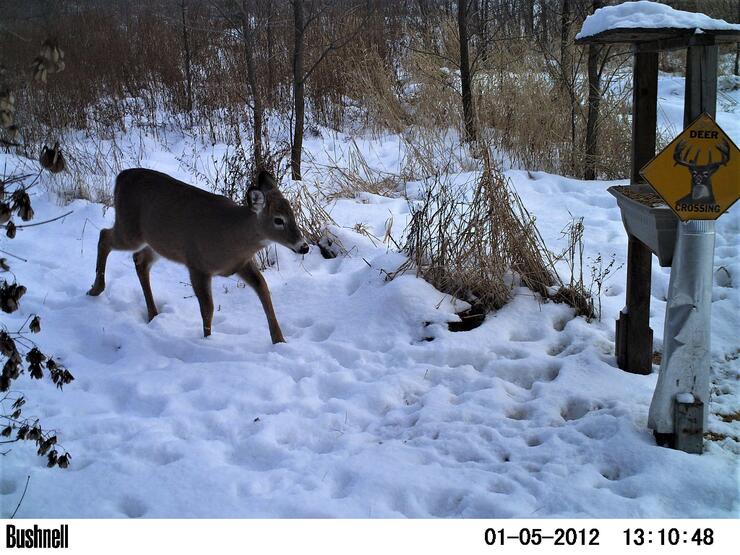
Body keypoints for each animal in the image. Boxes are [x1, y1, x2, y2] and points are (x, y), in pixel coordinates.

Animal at [86, 167, 306, 346]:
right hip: (130, 229)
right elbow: (208, 308)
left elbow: (264, 289)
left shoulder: (241, 264)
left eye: (293, 215)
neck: (232, 235)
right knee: (104, 236)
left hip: (156, 241)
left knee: (140, 260)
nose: (303, 247)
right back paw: (96, 289)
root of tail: (121, 176)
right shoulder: (197, 265)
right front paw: (207, 340)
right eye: (278, 220)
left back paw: (153, 314)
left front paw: (279, 340)